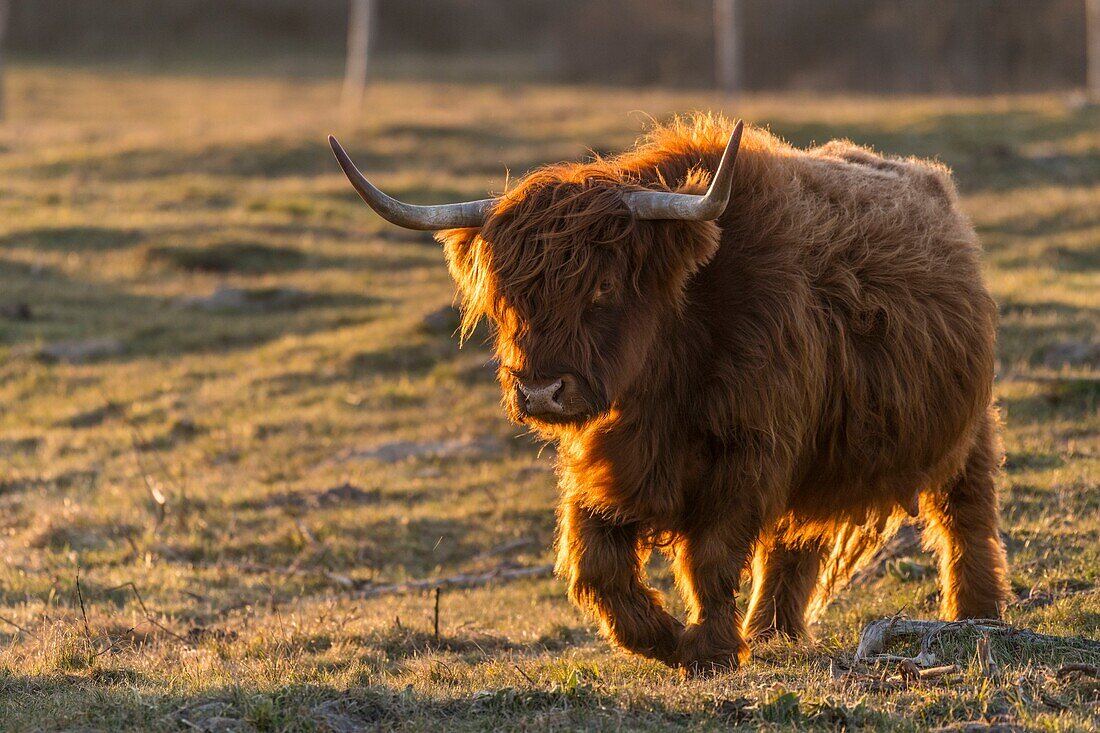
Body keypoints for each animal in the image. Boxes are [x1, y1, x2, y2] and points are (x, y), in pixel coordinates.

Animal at [327, 115, 1012, 673]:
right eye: (508, 295)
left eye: (603, 286)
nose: (542, 389)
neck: (665, 375)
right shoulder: (607, 464)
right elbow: (595, 563)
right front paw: (657, 637)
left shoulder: (749, 453)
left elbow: (709, 558)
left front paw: (708, 649)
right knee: (795, 543)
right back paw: (774, 632)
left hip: (968, 430)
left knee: (966, 519)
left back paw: (976, 617)